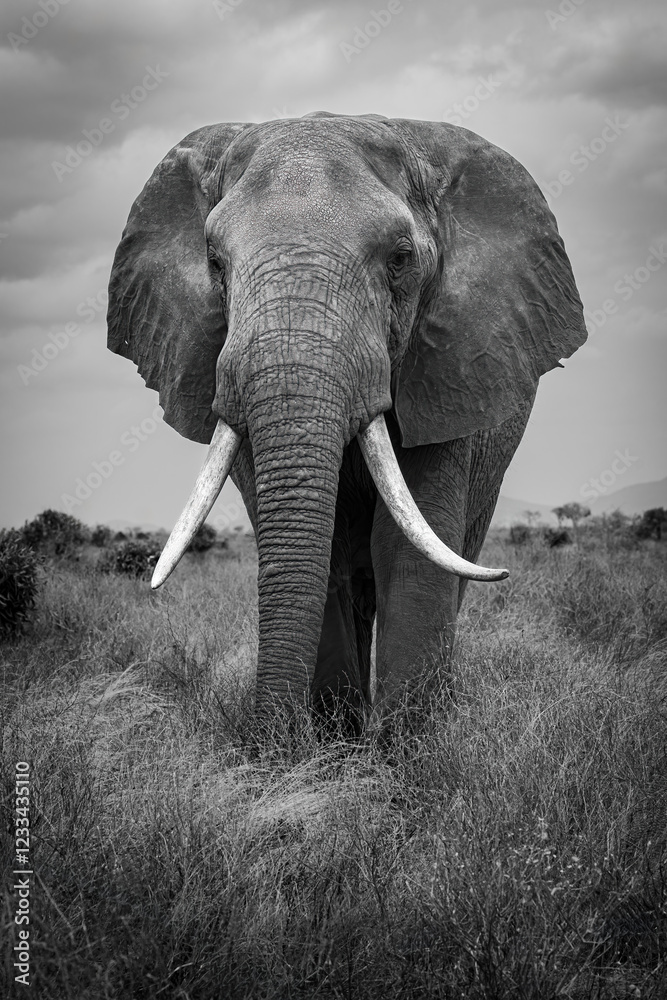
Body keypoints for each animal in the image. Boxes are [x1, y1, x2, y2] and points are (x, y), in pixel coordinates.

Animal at [107, 112, 587, 730]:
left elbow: (404, 543)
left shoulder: (446, 370)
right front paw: (335, 737)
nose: (265, 742)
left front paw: (409, 742)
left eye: (401, 259)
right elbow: (325, 546)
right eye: (214, 263)